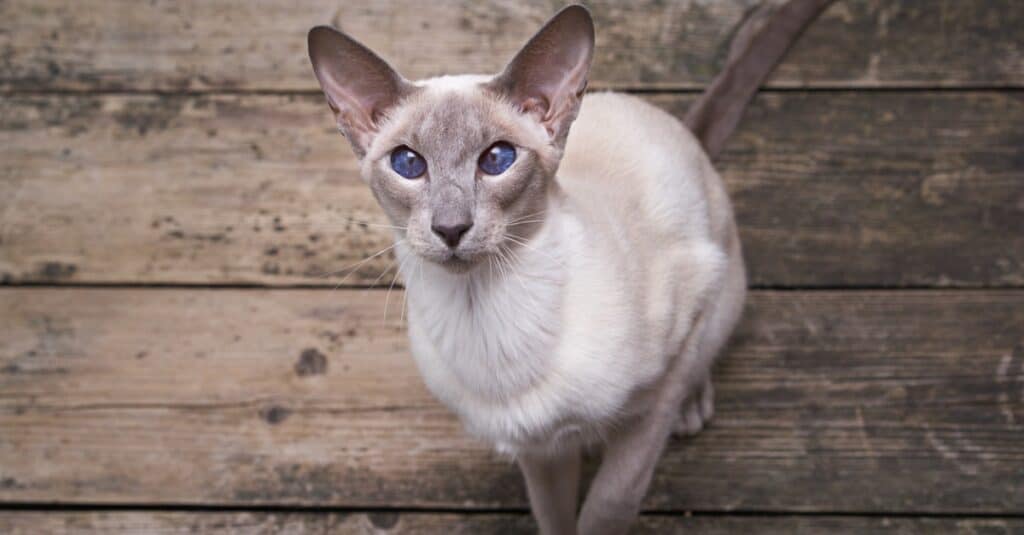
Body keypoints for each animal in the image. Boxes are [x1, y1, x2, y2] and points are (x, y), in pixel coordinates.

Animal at [305, 2, 831, 528]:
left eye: (497, 158)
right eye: (408, 164)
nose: (451, 228)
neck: (484, 314)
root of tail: (682, 129)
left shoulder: (654, 400)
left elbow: (607, 507)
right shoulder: (541, 451)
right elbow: (555, 517)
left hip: (720, 284)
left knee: (707, 349)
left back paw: (693, 409)